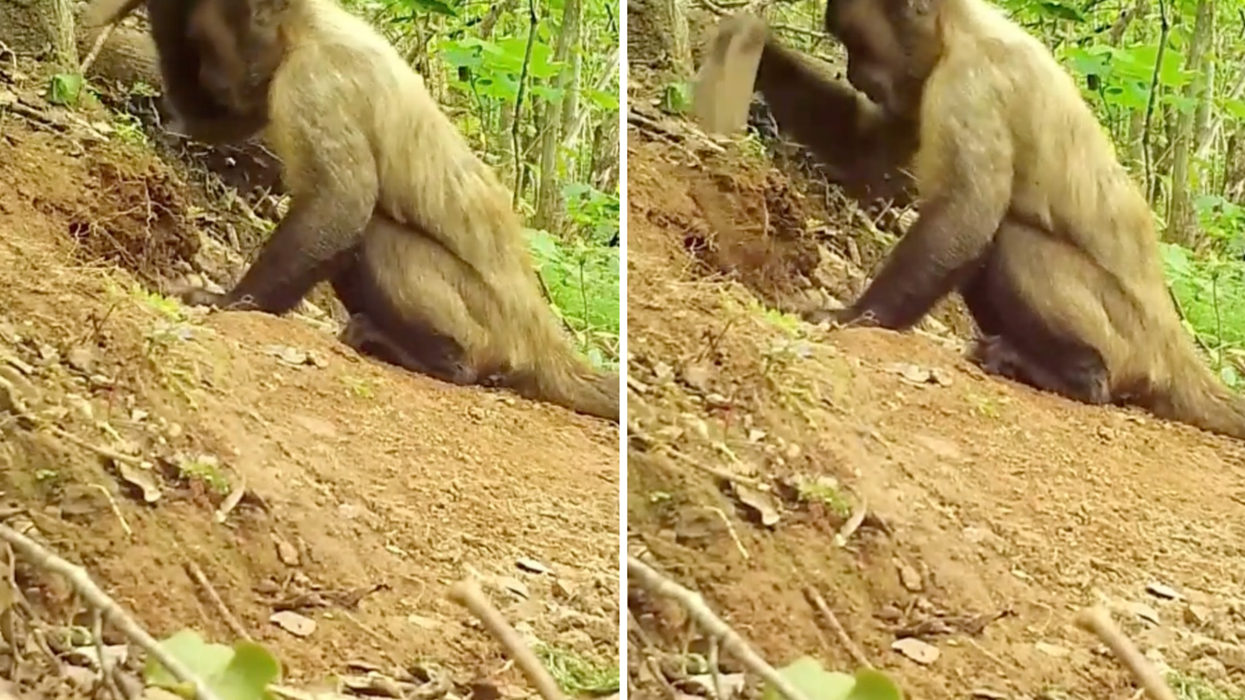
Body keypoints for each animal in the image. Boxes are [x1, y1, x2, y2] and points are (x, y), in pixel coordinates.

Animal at [81, 0, 621, 423]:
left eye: (208, 44)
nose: (213, 75)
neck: (309, 27)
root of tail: (544, 336)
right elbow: (219, 122)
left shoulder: (314, 79)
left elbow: (341, 205)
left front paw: (231, 300)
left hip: (491, 322)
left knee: (370, 233)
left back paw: (444, 360)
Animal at [691, 7, 1245, 440]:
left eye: (859, 46)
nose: (853, 72)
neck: (962, 26)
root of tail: (1174, 346)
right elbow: (871, 154)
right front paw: (762, 55)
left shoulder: (970, 81)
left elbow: (966, 213)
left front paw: (854, 315)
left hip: (1128, 339)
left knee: (1004, 239)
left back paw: (1079, 376)